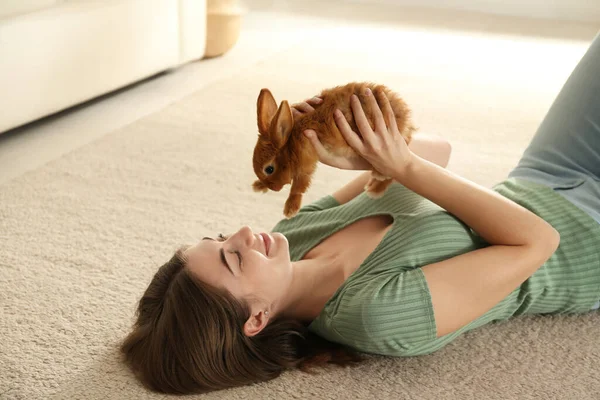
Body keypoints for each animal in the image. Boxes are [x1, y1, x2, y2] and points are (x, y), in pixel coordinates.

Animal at [251, 82, 414, 219]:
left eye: (269, 169)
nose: (274, 189)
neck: (291, 142)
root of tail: (405, 116)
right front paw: (258, 186)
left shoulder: (305, 159)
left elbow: (299, 185)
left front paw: (290, 209)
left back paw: (376, 185)